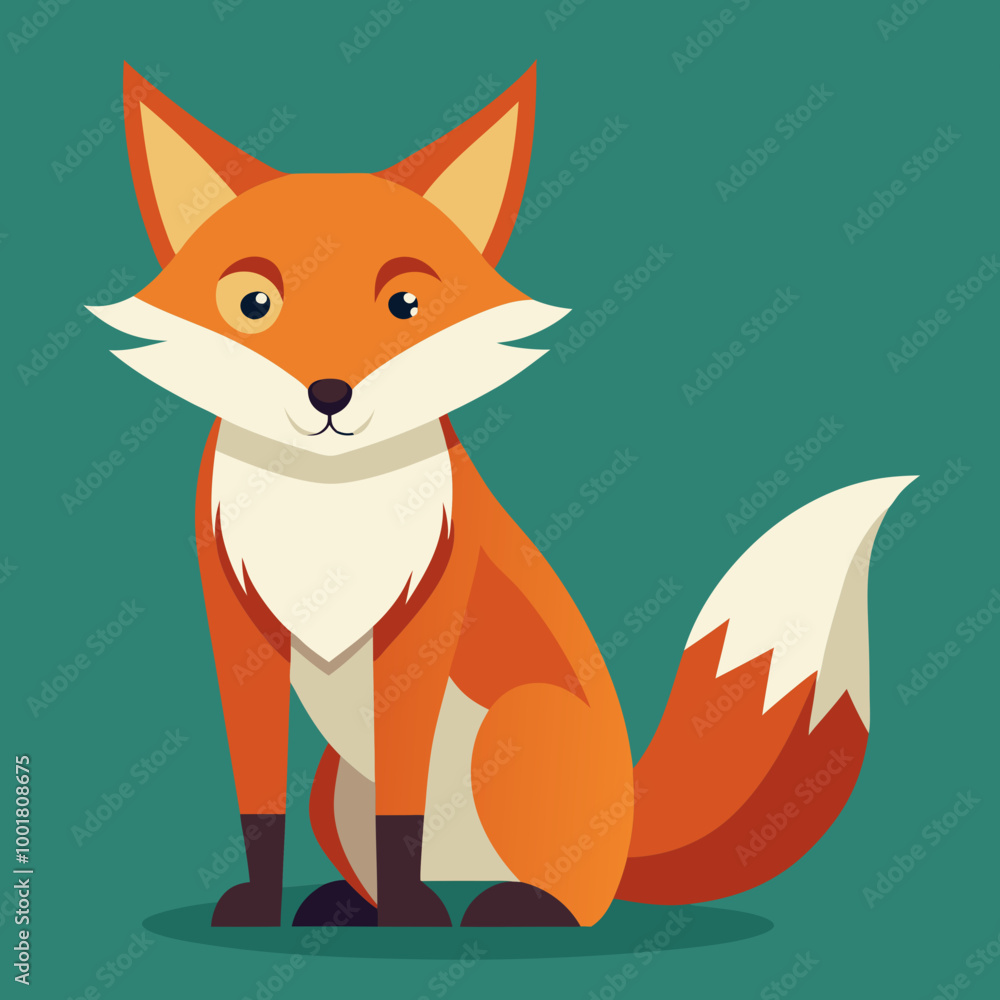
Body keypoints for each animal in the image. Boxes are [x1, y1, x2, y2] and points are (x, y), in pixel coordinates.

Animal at [90, 62, 914, 929]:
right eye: (254, 303)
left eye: (406, 306)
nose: (330, 395)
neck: (329, 506)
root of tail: (631, 818)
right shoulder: (239, 631)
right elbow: (260, 808)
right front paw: (259, 906)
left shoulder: (421, 632)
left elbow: (404, 814)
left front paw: (410, 924)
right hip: (335, 787)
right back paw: (350, 904)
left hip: (517, 729)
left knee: (572, 898)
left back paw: (501, 907)